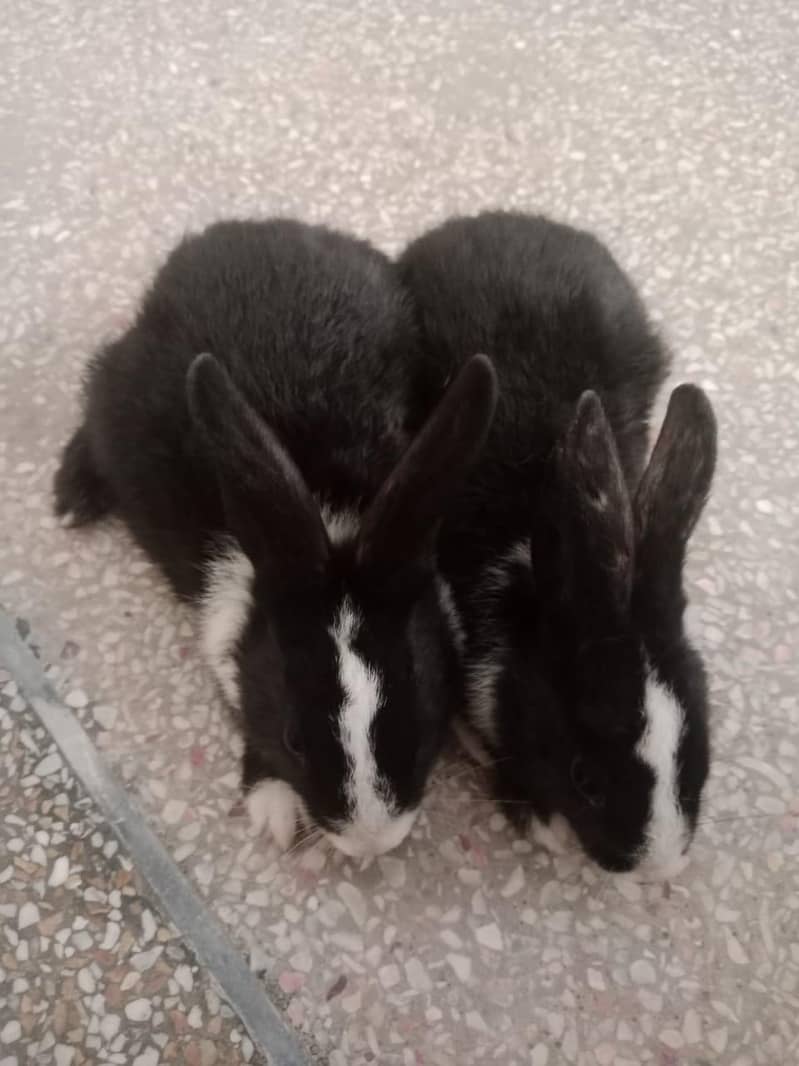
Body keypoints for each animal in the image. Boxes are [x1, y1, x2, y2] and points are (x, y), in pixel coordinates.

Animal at [54, 218, 498, 858]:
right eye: (293, 741)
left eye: (420, 727)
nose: (371, 844)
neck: (333, 519)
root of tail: (235, 231)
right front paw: (272, 805)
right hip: (121, 395)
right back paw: (73, 496)